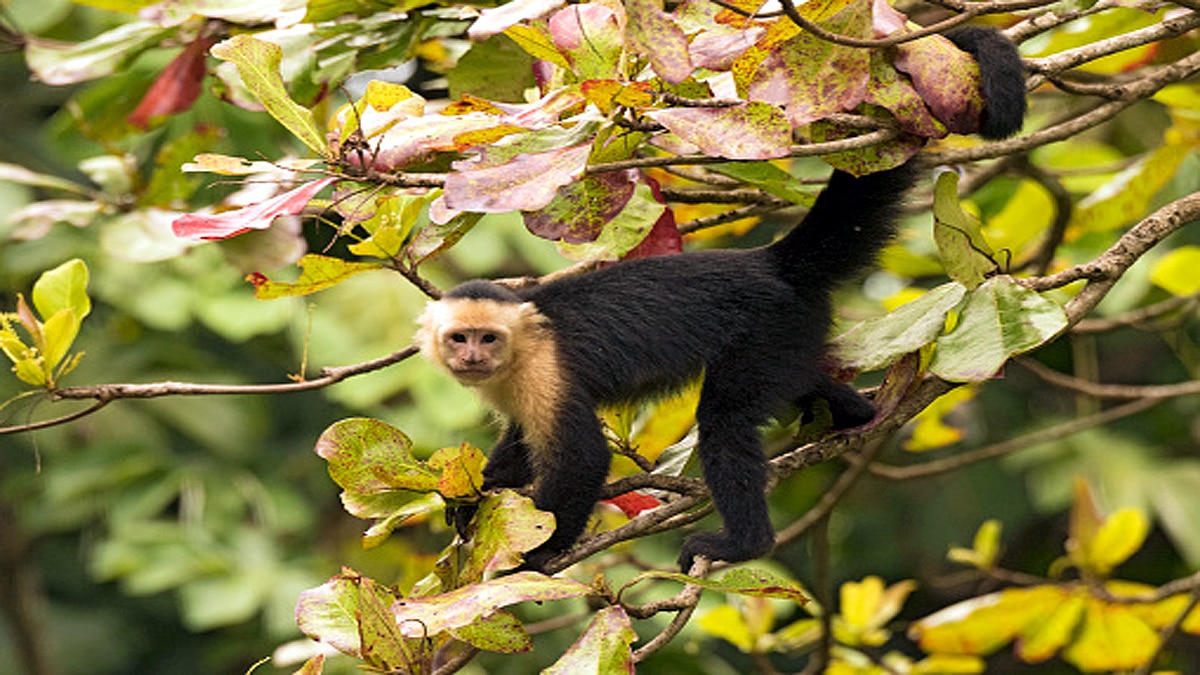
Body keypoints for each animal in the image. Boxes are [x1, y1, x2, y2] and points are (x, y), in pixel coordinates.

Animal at [416, 27, 1027, 573]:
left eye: (487, 337)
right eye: (459, 338)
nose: (472, 357)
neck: (518, 353)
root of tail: (767, 262)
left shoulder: (544, 369)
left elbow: (582, 461)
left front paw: (539, 554)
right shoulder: (511, 384)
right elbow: (519, 448)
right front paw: (473, 498)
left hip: (767, 328)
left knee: (726, 420)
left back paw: (744, 543)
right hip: (792, 334)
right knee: (795, 382)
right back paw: (853, 412)